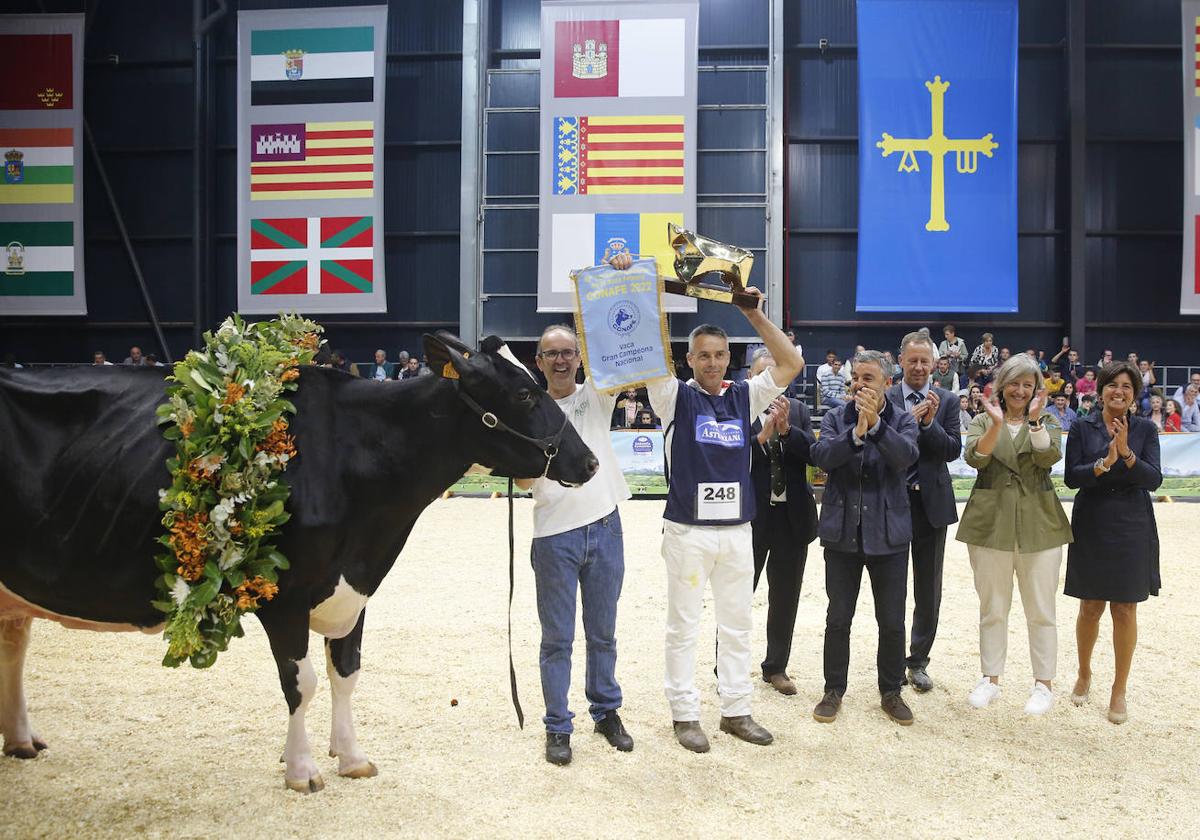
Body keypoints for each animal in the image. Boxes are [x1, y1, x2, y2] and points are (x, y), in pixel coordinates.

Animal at [0, 331, 597, 792]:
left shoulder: (354, 589)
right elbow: (302, 683)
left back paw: (22, 740)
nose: (590, 461)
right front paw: (302, 769)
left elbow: (346, 673)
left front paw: (352, 757)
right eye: (524, 393)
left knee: (13, 646)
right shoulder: (280, 595)